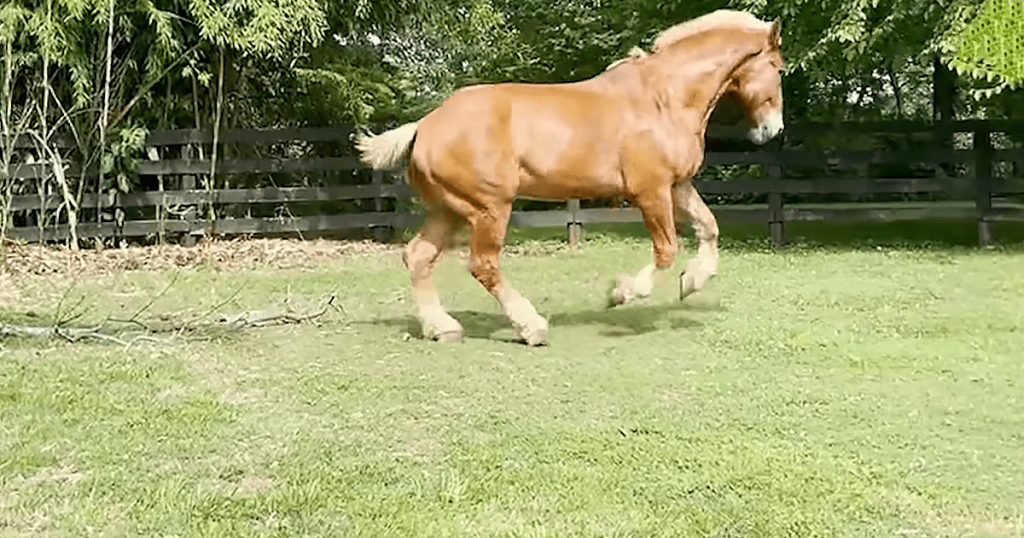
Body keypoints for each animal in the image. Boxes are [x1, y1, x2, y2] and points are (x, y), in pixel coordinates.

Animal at [352, 9, 782, 348]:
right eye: (778, 69)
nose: (772, 131)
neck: (666, 98)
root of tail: (425, 125)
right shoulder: (651, 191)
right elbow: (666, 251)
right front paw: (621, 293)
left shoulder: (678, 186)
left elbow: (709, 227)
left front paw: (691, 281)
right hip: (488, 208)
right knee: (482, 265)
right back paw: (531, 327)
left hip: (448, 209)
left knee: (418, 257)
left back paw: (443, 328)